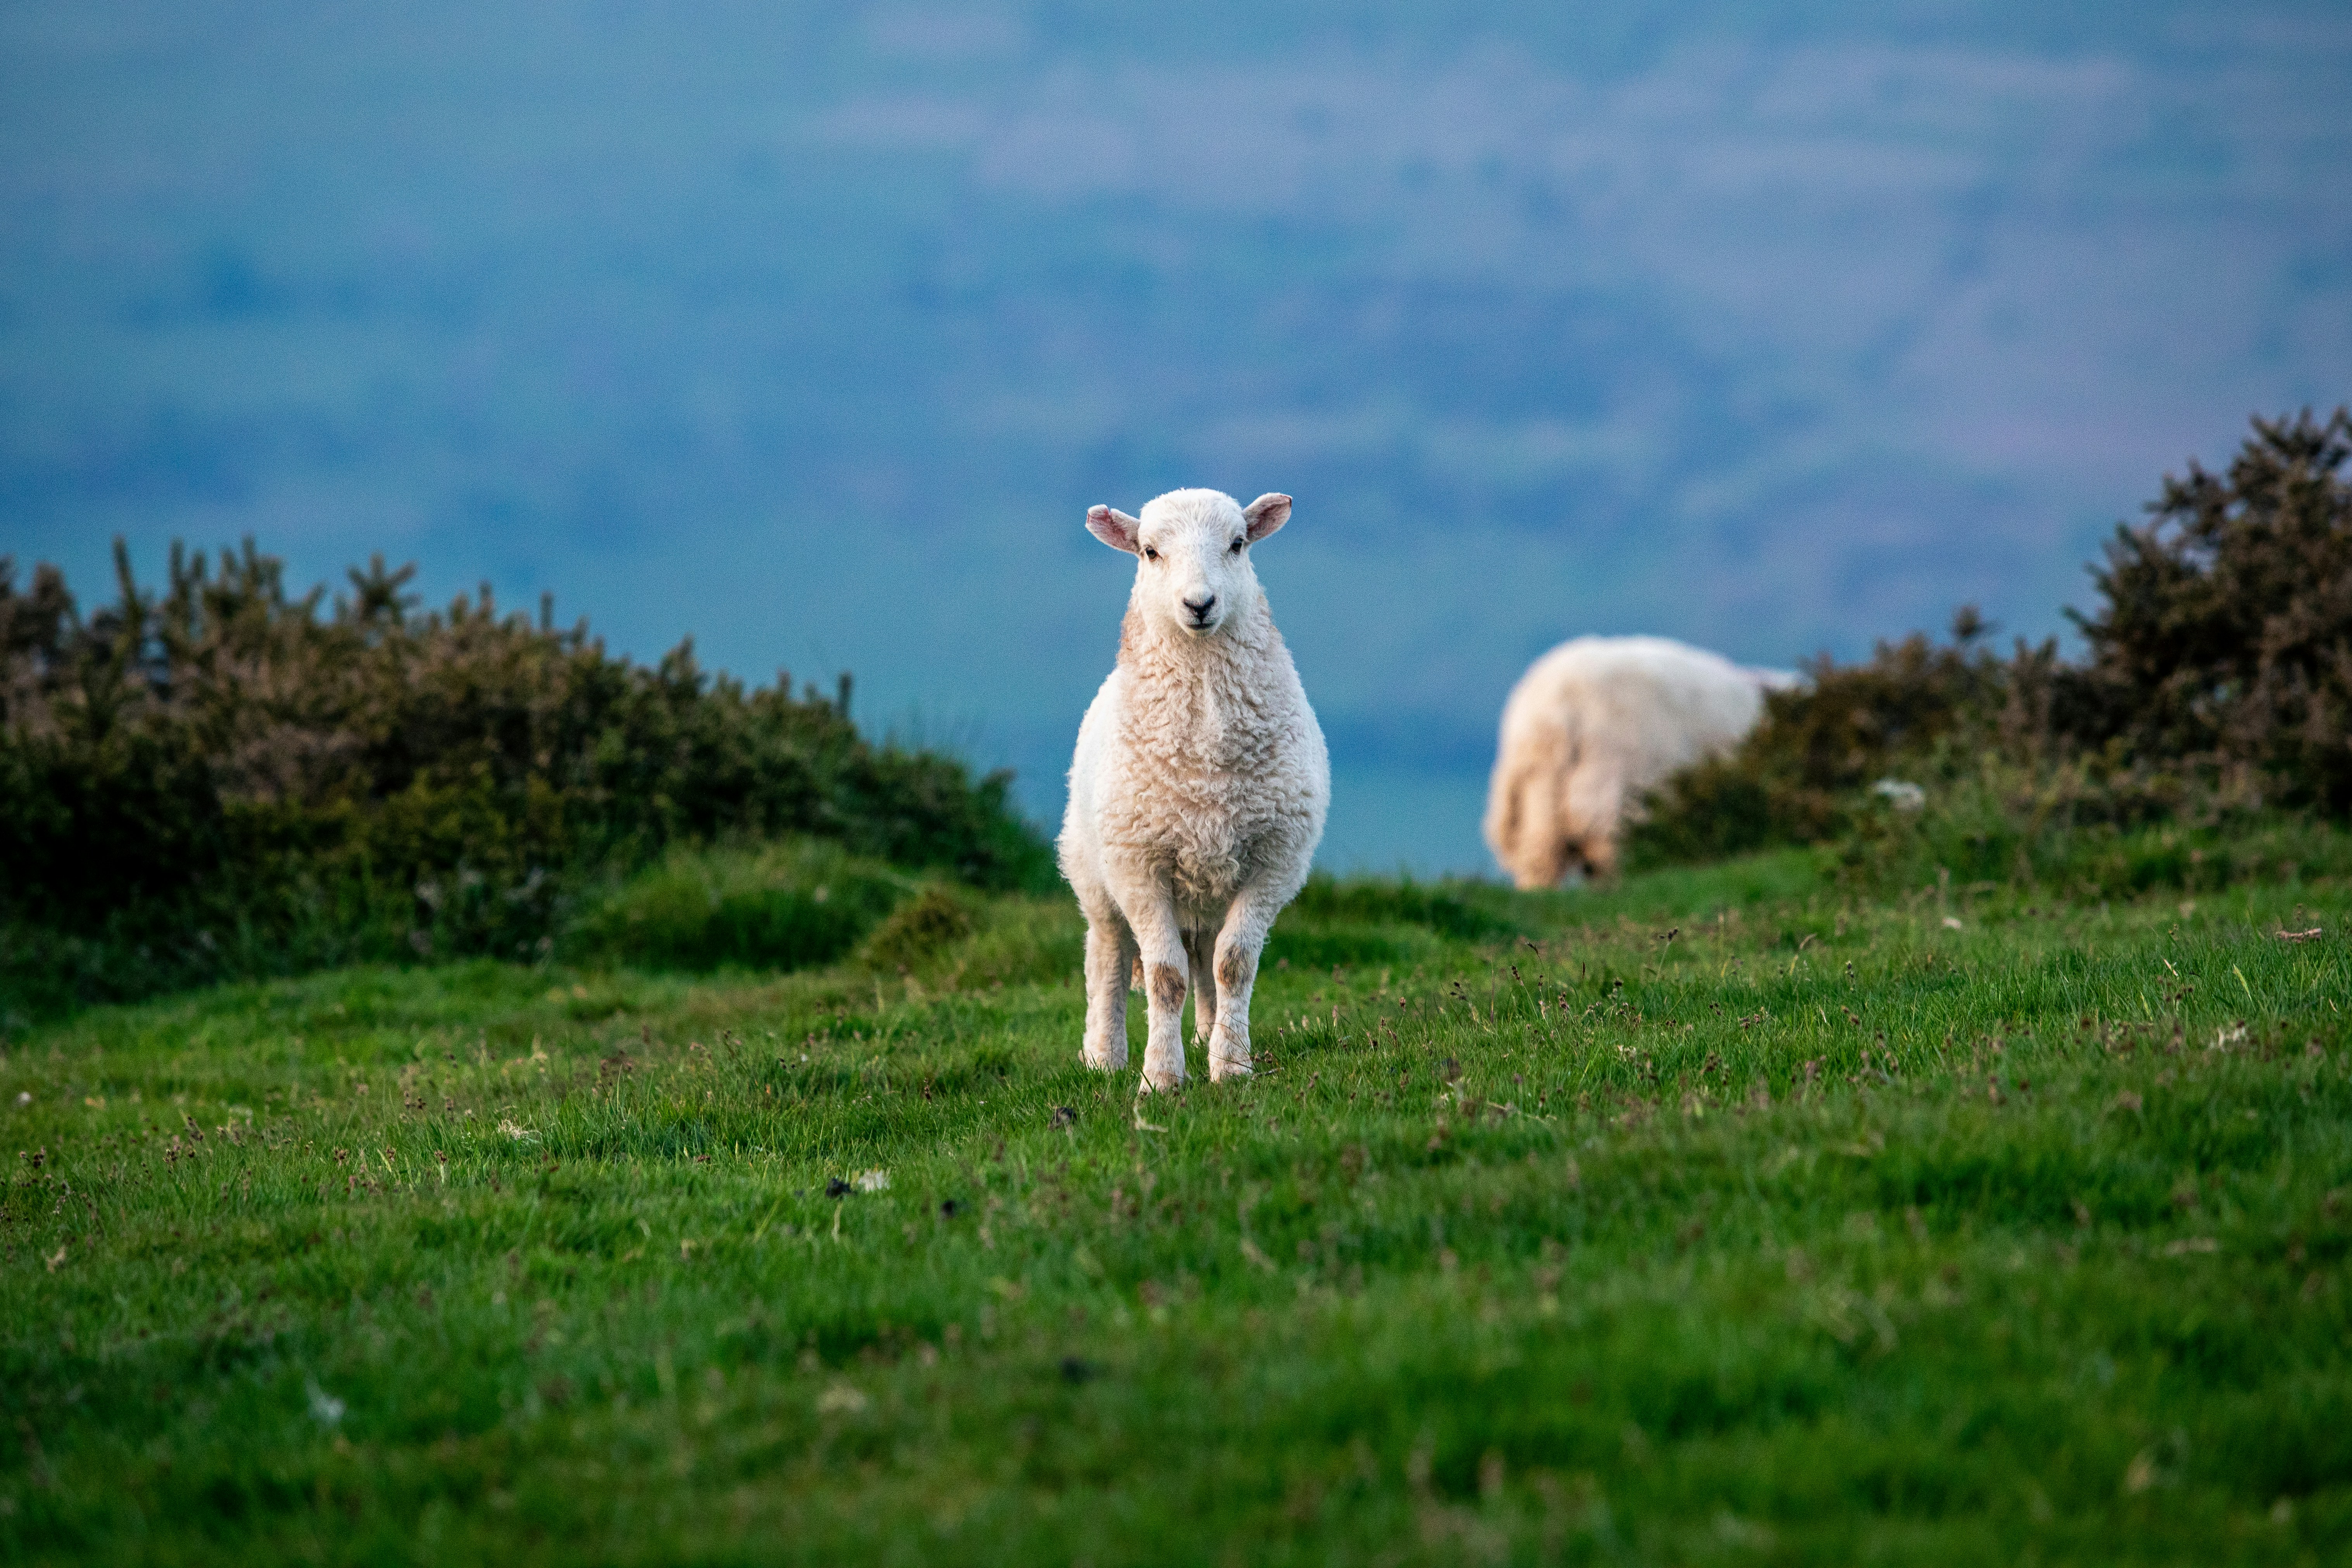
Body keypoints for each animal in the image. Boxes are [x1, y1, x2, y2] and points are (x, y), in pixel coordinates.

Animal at [1058, 488, 1329, 1091]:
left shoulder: (1274, 861)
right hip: (1095, 875)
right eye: (1149, 551)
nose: (1199, 604)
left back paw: (1206, 1035)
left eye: (1238, 543)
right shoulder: (1139, 866)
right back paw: (1103, 1055)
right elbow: (1163, 976)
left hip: (1207, 891)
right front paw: (1160, 1077)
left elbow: (1234, 966)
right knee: (1108, 959)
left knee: (1206, 958)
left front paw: (1231, 1066)